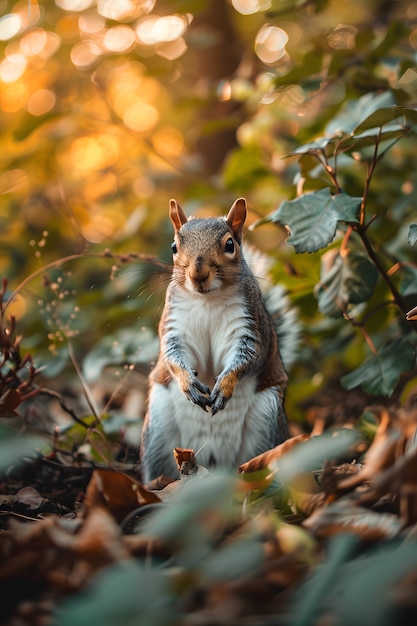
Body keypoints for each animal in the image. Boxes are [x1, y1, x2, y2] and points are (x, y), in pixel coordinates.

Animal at [140, 197, 296, 480]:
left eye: (230, 244)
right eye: (174, 247)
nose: (198, 274)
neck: (207, 300)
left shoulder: (250, 327)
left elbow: (250, 357)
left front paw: (224, 385)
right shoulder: (175, 326)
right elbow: (171, 355)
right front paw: (188, 382)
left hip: (266, 423)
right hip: (158, 428)